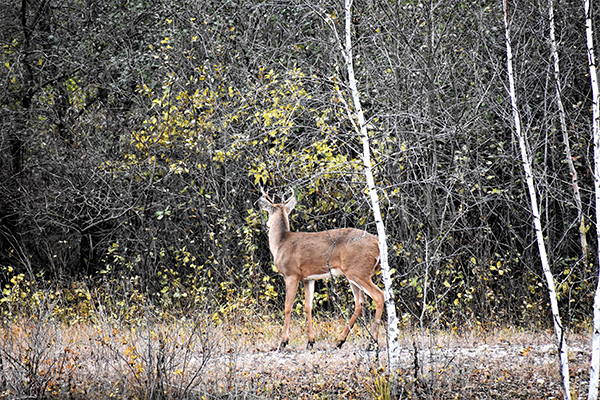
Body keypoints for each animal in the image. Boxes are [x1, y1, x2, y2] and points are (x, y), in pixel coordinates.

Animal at [258, 189, 384, 348]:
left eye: (268, 212)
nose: (267, 224)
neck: (280, 243)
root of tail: (377, 243)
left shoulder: (291, 274)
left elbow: (287, 306)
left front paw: (284, 341)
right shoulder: (308, 278)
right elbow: (308, 306)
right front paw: (311, 341)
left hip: (359, 271)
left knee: (379, 296)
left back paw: (372, 342)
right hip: (354, 274)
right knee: (360, 302)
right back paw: (340, 341)